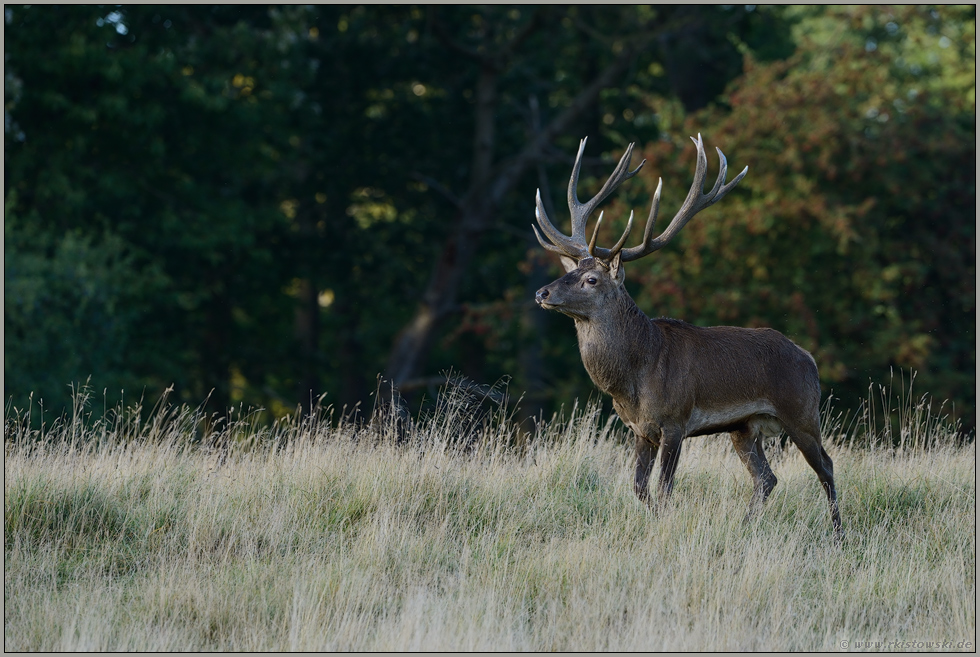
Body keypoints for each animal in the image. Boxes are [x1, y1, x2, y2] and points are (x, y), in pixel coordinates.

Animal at [536, 133, 844, 540]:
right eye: (571, 271)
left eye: (591, 279)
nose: (542, 292)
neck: (634, 378)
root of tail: (808, 358)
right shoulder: (639, 430)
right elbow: (639, 487)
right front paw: (654, 523)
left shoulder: (675, 420)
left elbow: (665, 487)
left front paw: (666, 527)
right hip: (745, 428)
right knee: (766, 478)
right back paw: (744, 527)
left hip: (802, 411)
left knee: (825, 467)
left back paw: (840, 534)